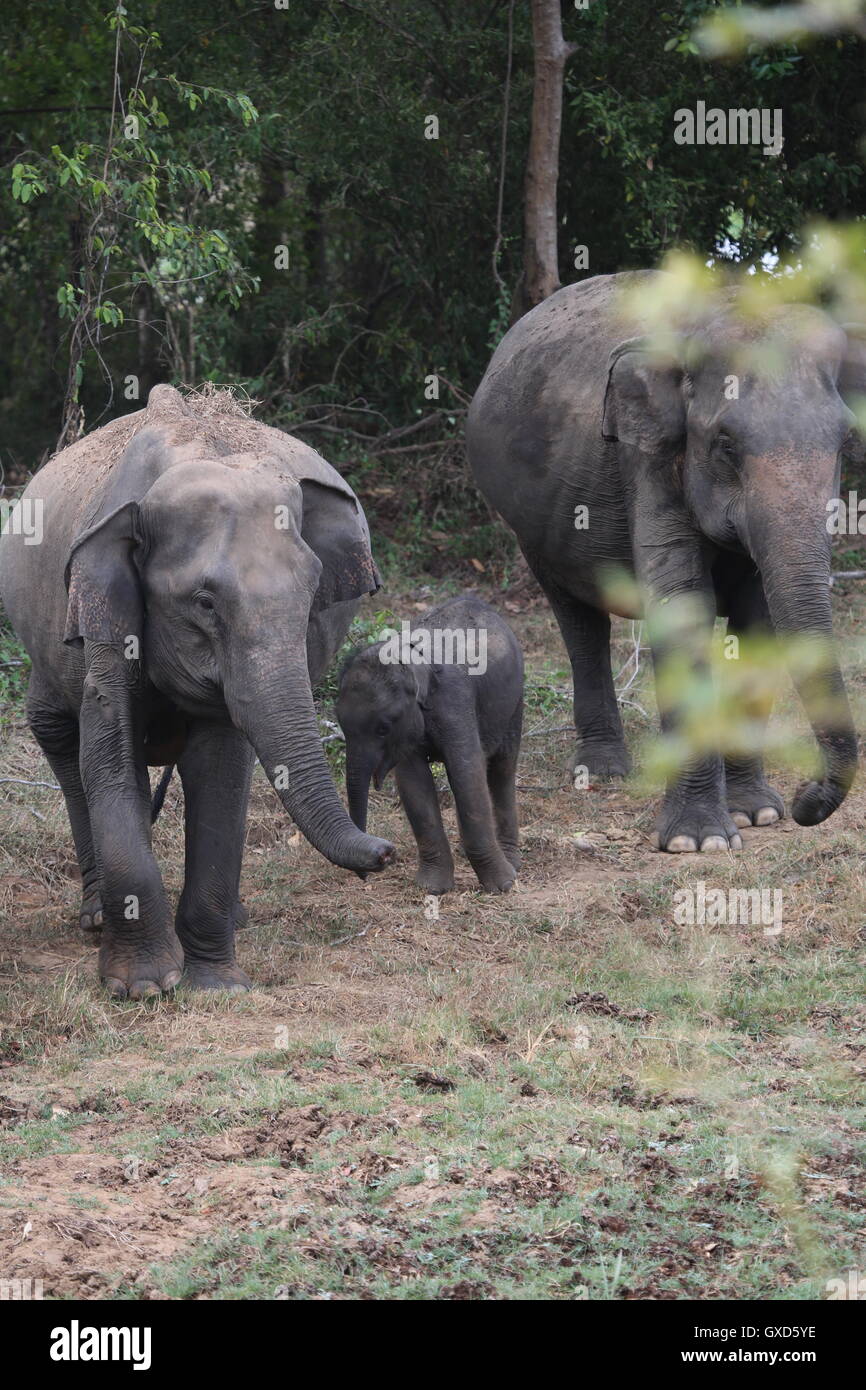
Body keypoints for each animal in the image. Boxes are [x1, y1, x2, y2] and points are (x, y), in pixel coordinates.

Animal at [0, 383, 394, 1000]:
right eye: (204, 603)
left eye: (312, 597)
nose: (385, 852)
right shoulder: (103, 614)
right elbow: (108, 756)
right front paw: (141, 987)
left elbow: (220, 766)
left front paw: (215, 985)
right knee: (59, 736)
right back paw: (95, 917)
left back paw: (234, 920)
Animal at [337, 594, 525, 895]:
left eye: (383, 729)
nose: (379, 861)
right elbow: (414, 784)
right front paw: (432, 888)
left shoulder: (454, 701)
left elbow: (467, 774)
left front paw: (502, 886)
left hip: (515, 698)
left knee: (502, 769)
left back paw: (512, 863)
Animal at [469, 271, 866, 850]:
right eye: (725, 444)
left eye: (846, 441)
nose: (805, 800)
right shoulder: (647, 456)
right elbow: (682, 609)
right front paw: (699, 841)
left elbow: (757, 621)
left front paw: (757, 814)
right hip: (530, 528)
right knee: (579, 620)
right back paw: (604, 771)